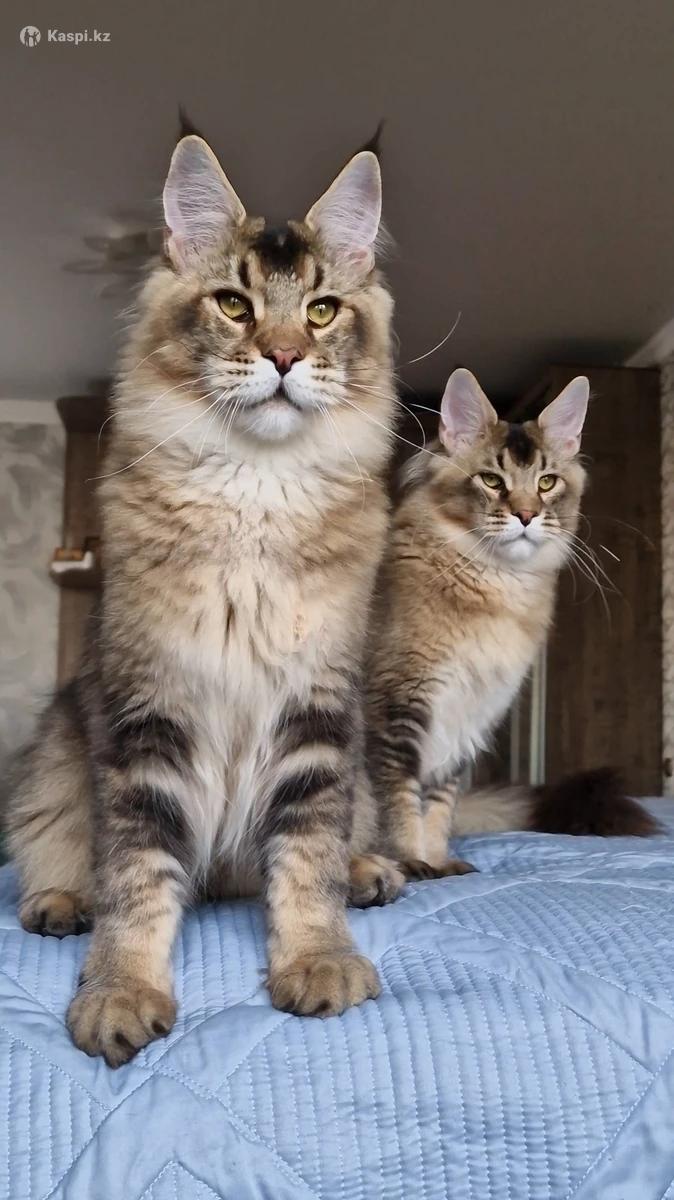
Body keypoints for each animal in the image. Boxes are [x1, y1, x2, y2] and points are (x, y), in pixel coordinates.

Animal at [5, 131, 406, 1066]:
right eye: (233, 303)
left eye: (322, 311)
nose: (286, 356)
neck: (257, 495)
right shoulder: (148, 718)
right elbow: (138, 883)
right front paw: (119, 991)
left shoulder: (317, 716)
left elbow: (305, 861)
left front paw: (320, 958)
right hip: (54, 756)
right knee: (61, 854)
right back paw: (58, 905)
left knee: (346, 838)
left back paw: (370, 872)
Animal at [366, 367, 656, 874]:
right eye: (491, 480)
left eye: (547, 482)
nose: (526, 515)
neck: (497, 589)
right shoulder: (396, 709)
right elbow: (396, 803)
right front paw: (408, 864)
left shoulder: (466, 721)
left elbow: (436, 809)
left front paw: (438, 862)